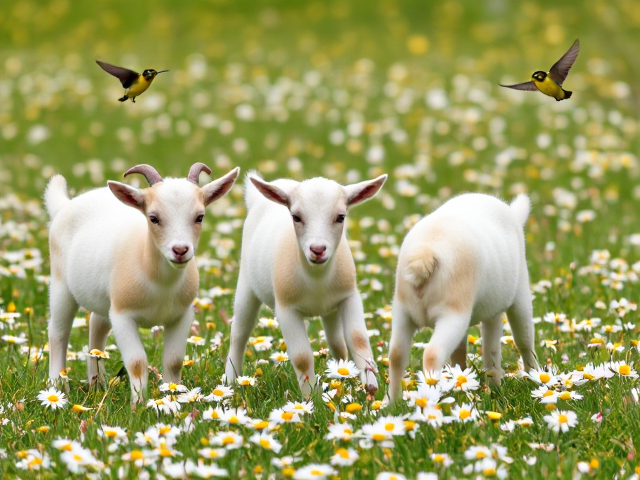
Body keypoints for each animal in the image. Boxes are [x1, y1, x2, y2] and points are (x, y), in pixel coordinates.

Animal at [45, 163, 239, 405]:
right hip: (61, 284)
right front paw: (138, 405)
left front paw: (173, 397)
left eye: (200, 217)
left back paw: (97, 384)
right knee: (58, 333)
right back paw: (57, 385)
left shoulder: (182, 315)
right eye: (153, 218)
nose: (180, 250)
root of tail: (65, 205)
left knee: (97, 327)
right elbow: (137, 362)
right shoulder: (122, 316)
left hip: (104, 299)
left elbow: (174, 360)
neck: (159, 281)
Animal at [225, 171, 387, 396]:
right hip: (246, 286)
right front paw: (312, 396)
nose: (317, 249)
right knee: (239, 334)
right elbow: (302, 357)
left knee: (337, 343)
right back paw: (231, 380)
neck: (316, 278)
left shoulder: (349, 297)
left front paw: (370, 383)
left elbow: (358, 340)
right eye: (296, 217)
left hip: (330, 309)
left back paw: (341, 374)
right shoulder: (286, 309)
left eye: (341, 217)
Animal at [388, 193, 540, 401]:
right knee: (433, 354)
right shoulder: (518, 298)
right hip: (453, 313)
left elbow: (484, 351)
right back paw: (432, 397)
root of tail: (424, 256)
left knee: (397, 355)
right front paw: (534, 378)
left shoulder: (492, 312)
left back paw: (392, 403)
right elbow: (521, 341)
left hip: (403, 311)